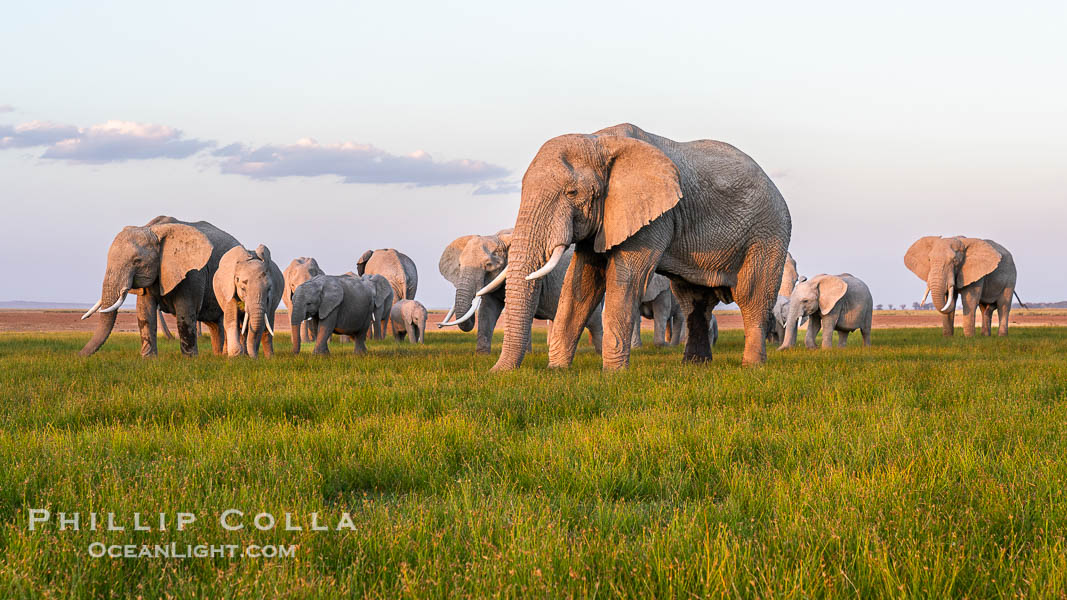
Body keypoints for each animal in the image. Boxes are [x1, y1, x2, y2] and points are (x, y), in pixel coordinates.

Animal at [79, 216, 240, 357]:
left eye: (137, 261)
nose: (79, 356)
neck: (154, 229)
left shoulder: (192, 273)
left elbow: (185, 311)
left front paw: (189, 360)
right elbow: (145, 312)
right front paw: (148, 359)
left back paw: (226, 356)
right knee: (215, 324)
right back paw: (218, 356)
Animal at [438, 232, 603, 354]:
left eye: (488, 265)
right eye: (460, 265)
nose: (438, 325)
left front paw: (527, 355)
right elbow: (487, 310)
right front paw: (482, 356)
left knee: (594, 321)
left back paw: (598, 353)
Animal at [490, 123, 791, 371]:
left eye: (572, 193)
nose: (496, 373)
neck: (599, 139)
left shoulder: (655, 216)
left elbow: (625, 279)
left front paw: (613, 375)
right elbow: (582, 282)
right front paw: (558, 370)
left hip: (768, 233)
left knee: (752, 294)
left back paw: (752, 367)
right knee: (693, 301)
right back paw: (695, 366)